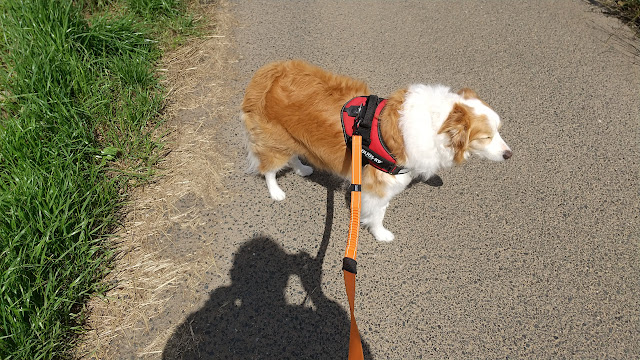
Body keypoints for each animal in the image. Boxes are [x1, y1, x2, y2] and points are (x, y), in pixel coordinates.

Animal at [242, 60, 512, 242]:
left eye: (499, 131)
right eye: (486, 137)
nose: (509, 154)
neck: (436, 124)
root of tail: (267, 72)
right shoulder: (380, 184)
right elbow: (379, 213)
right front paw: (380, 233)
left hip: (293, 138)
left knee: (295, 154)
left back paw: (302, 168)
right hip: (275, 142)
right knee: (268, 168)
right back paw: (276, 191)